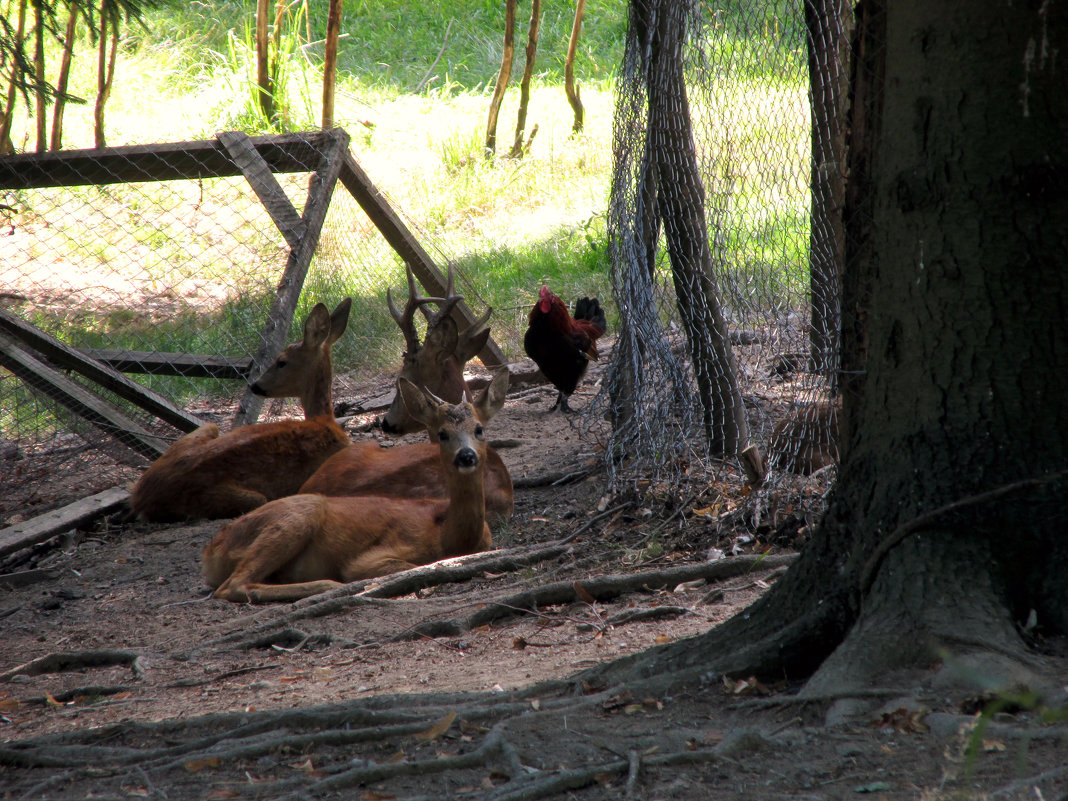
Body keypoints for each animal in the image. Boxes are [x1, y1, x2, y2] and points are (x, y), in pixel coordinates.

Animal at [124, 299, 350, 521]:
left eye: (282, 362)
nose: (255, 385)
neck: (324, 420)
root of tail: (141, 498)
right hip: (236, 498)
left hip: (207, 428)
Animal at [205, 369, 512, 602]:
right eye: (442, 433)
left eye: (479, 429)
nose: (466, 456)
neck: (452, 537)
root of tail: (211, 551)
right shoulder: (373, 556)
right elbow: (406, 565)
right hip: (298, 513)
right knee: (233, 585)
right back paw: (329, 585)